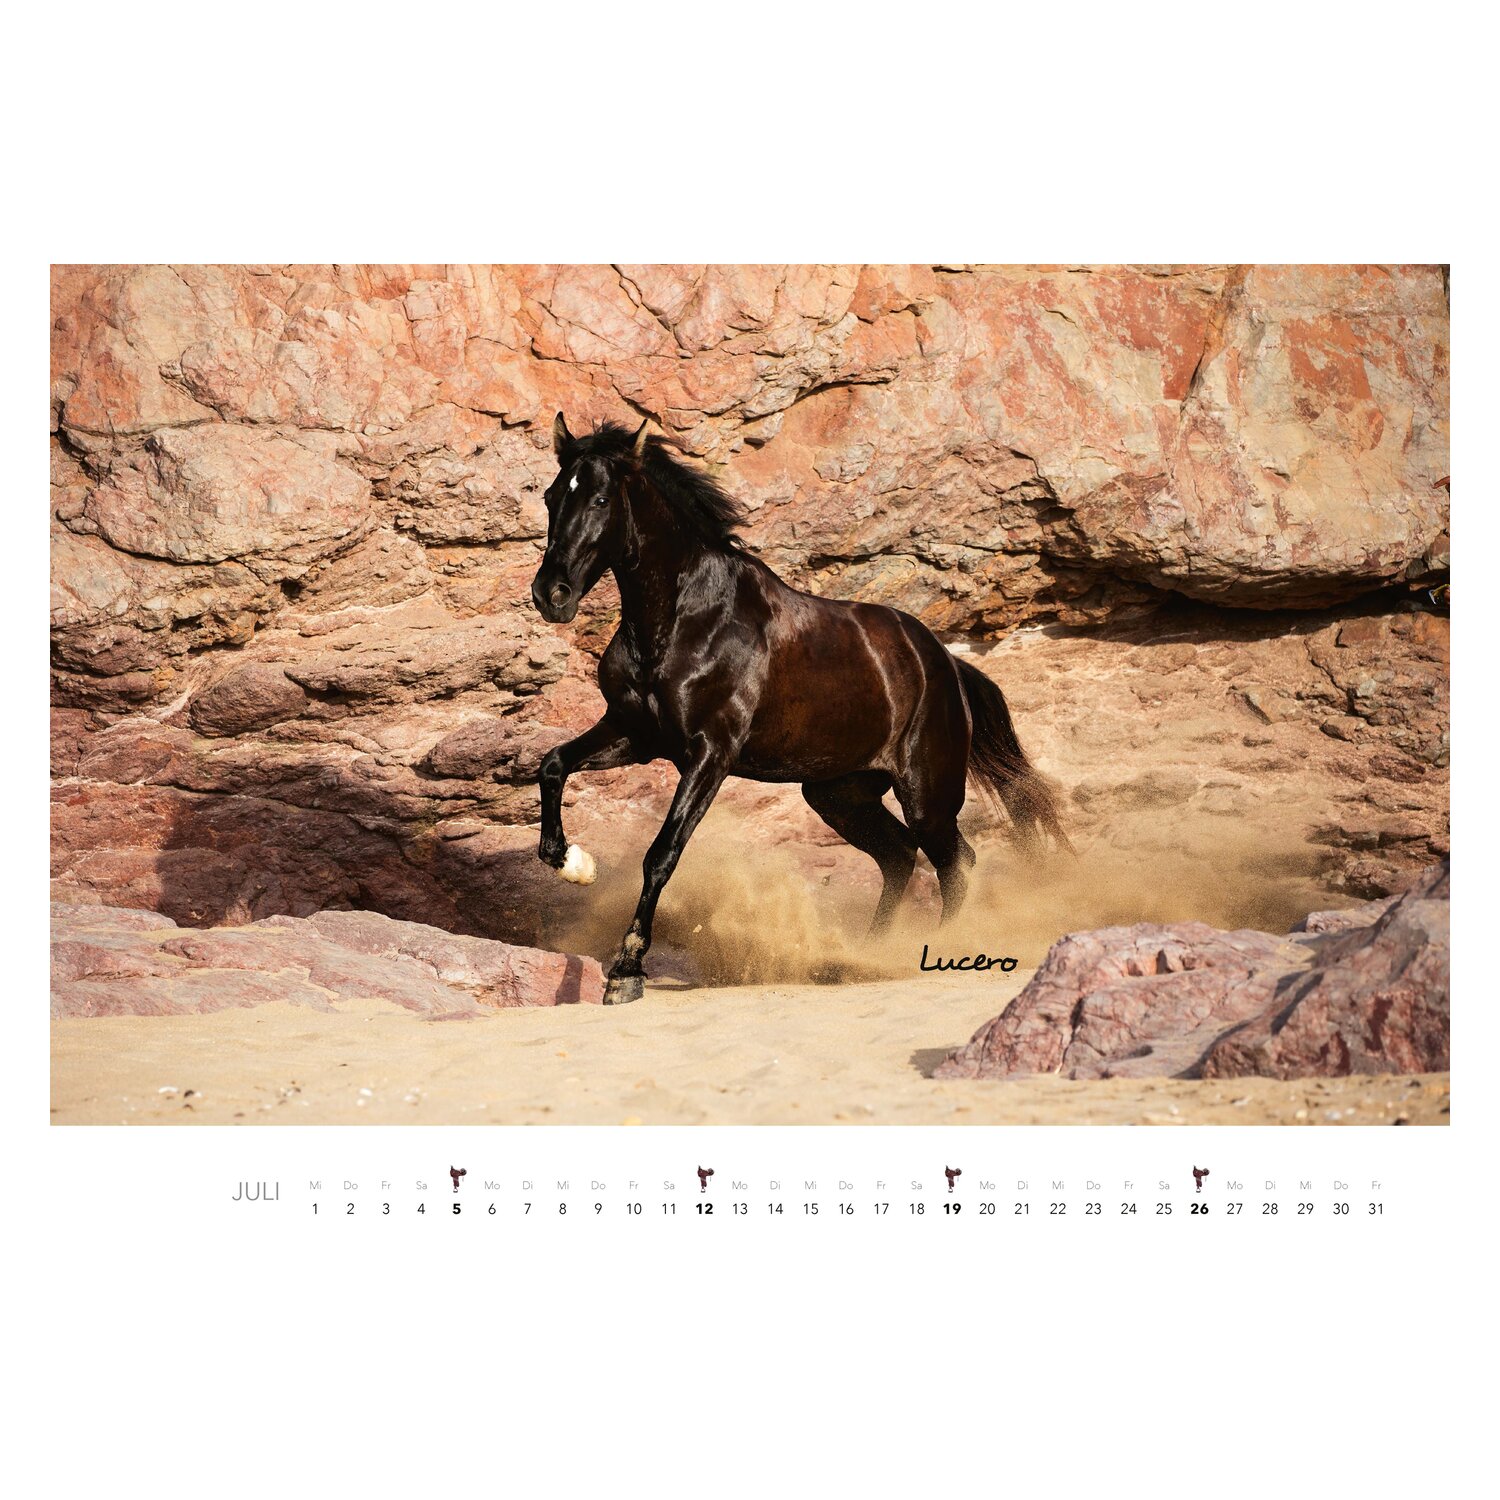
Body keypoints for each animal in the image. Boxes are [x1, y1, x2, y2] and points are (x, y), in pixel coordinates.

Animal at [530, 414, 1070, 1005]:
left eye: (601, 498)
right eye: (551, 496)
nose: (551, 595)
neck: (681, 622)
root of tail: (946, 663)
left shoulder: (709, 755)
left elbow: (661, 854)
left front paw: (626, 972)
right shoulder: (635, 735)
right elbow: (553, 764)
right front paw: (569, 861)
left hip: (927, 794)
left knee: (955, 863)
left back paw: (933, 950)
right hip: (838, 794)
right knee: (900, 856)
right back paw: (860, 957)